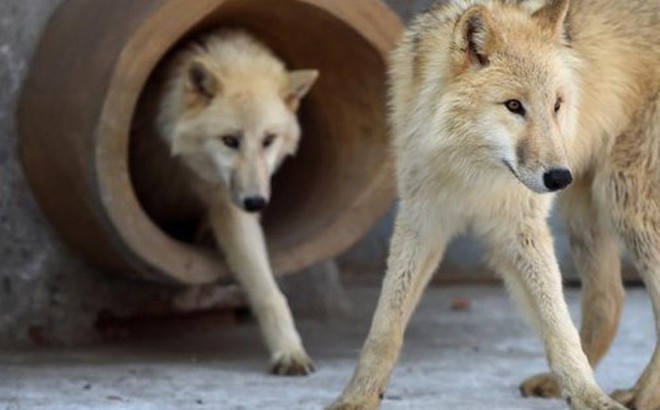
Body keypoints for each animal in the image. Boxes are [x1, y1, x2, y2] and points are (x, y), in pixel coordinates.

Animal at [330, 0, 660, 410]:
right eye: (514, 105)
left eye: (556, 105)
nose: (558, 177)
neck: (473, 173)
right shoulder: (422, 221)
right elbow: (385, 324)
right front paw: (357, 396)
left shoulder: (522, 230)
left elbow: (559, 328)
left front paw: (590, 397)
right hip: (585, 211)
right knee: (609, 300)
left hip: (623, 199)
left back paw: (642, 395)